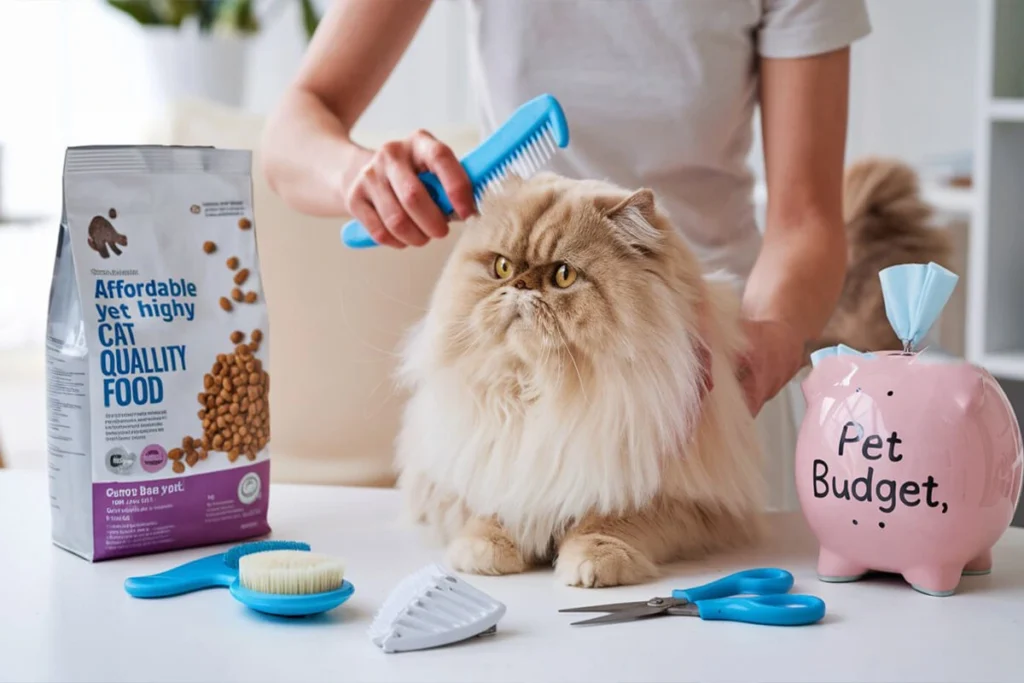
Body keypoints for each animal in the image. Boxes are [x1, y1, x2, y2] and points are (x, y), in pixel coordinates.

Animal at [391, 172, 761, 589]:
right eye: (502, 268)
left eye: (563, 275)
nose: (520, 285)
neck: (547, 392)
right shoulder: (494, 459)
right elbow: (493, 506)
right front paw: (484, 551)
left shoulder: (676, 497)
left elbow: (610, 521)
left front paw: (595, 561)